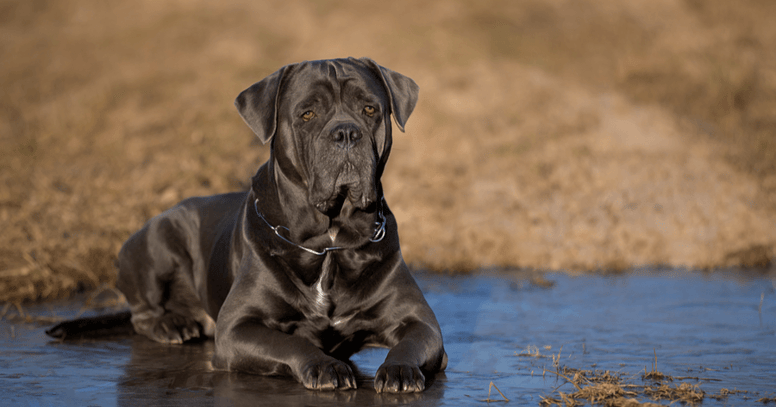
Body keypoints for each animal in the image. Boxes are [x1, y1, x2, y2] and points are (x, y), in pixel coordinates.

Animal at [113, 57, 448, 392]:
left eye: (369, 109)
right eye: (308, 113)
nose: (346, 133)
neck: (329, 243)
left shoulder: (421, 323)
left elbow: (410, 343)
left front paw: (400, 370)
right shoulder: (237, 327)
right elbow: (291, 343)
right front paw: (326, 365)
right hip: (159, 240)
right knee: (141, 313)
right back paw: (171, 325)